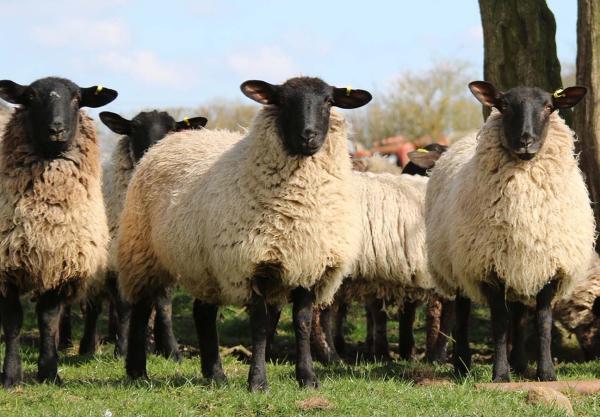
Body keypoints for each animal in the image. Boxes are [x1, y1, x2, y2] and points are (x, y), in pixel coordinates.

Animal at [0, 75, 118, 386]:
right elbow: (12, 320)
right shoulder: (6, 266)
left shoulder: (61, 263)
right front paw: (11, 375)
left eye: (77, 98)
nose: (56, 129)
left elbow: (48, 318)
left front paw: (49, 371)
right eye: (30, 97)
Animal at [74, 109, 207, 356]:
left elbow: (164, 304)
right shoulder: (117, 257)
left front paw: (171, 350)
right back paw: (88, 346)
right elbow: (124, 304)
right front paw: (122, 350)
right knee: (94, 307)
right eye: (134, 128)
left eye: (172, 128)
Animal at [116, 75, 370, 390]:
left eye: (328, 101)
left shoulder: (308, 264)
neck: (300, 210)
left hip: (206, 265)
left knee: (202, 312)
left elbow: (301, 322)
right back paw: (137, 370)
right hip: (143, 251)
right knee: (141, 307)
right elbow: (259, 327)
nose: (308, 136)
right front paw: (258, 382)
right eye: (281, 101)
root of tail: (164, 144)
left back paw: (215, 374)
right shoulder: (252, 265)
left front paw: (308, 378)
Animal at [426, 80, 596, 380]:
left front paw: (546, 372)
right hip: (459, 263)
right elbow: (499, 323)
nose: (526, 141)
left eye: (549, 107)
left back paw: (520, 362)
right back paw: (462, 364)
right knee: (461, 311)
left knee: (518, 312)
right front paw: (500, 374)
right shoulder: (488, 266)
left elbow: (541, 322)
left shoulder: (549, 266)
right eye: (504, 106)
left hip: (518, 264)